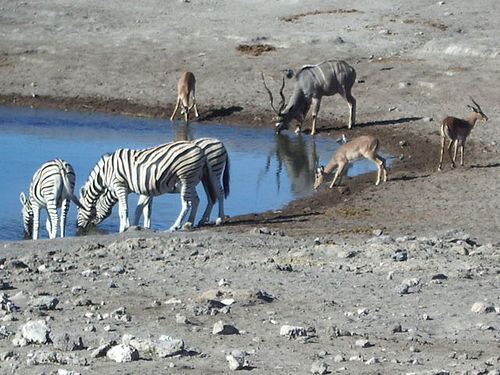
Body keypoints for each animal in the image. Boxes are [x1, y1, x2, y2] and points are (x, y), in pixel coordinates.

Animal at [90, 137, 230, 228]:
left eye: (94, 209)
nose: (89, 225)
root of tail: (219, 142)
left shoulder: (144, 189)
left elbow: (139, 209)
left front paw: (133, 226)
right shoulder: (148, 190)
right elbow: (146, 210)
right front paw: (144, 226)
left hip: (213, 172)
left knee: (218, 193)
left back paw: (219, 219)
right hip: (203, 178)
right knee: (209, 197)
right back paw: (197, 221)